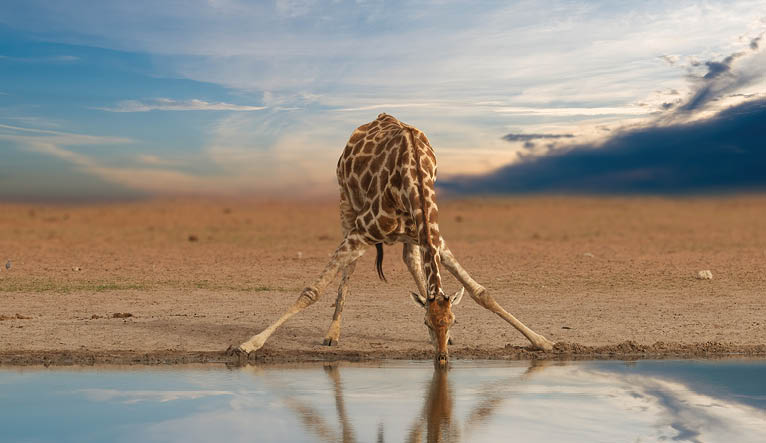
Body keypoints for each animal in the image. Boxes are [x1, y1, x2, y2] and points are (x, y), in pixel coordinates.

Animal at [231, 113, 554, 365]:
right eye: (425, 323)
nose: (441, 358)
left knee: (410, 260)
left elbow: (481, 293)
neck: (412, 176)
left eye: (453, 321)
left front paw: (543, 341)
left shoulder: (434, 238)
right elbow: (312, 291)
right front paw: (248, 344)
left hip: (409, 236)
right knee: (350, 267)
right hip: (346, 206)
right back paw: (332, 334)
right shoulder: (361, 231)